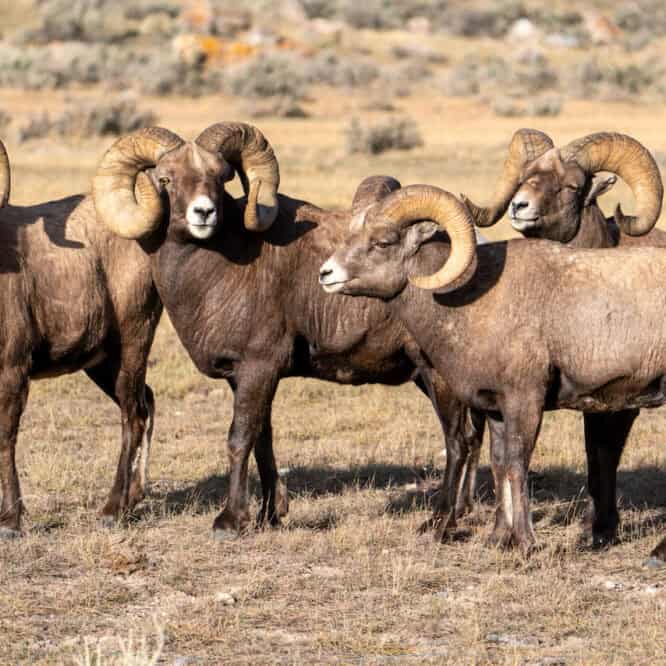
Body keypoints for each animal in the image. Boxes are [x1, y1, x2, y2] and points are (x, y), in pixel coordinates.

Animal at [91, 123, 484, 540]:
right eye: (166, 179)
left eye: (220, 177)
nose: (204, 212)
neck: (217, 272)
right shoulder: (247, 379)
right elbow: (263, 440)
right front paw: (269, 515)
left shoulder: (258, 369)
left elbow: (239, 439)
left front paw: (230, 521)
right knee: (472, 437)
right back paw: (463, 511)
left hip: (436, 375)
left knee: (458, 440)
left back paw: (441, 522)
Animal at [319, 183, 666, 564]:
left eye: (382, 241)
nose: (326, 274)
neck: (471, 303)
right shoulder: (496, 409)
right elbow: (499, 464)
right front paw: (499, 540)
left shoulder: (524, 402)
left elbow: (517, 464)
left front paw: (528, 544)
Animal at [462, 129, 665, 549]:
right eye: (525, 177)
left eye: (572, 185)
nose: (520, 206)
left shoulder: (619, 404)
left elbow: (603, 455)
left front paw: (600, 530)